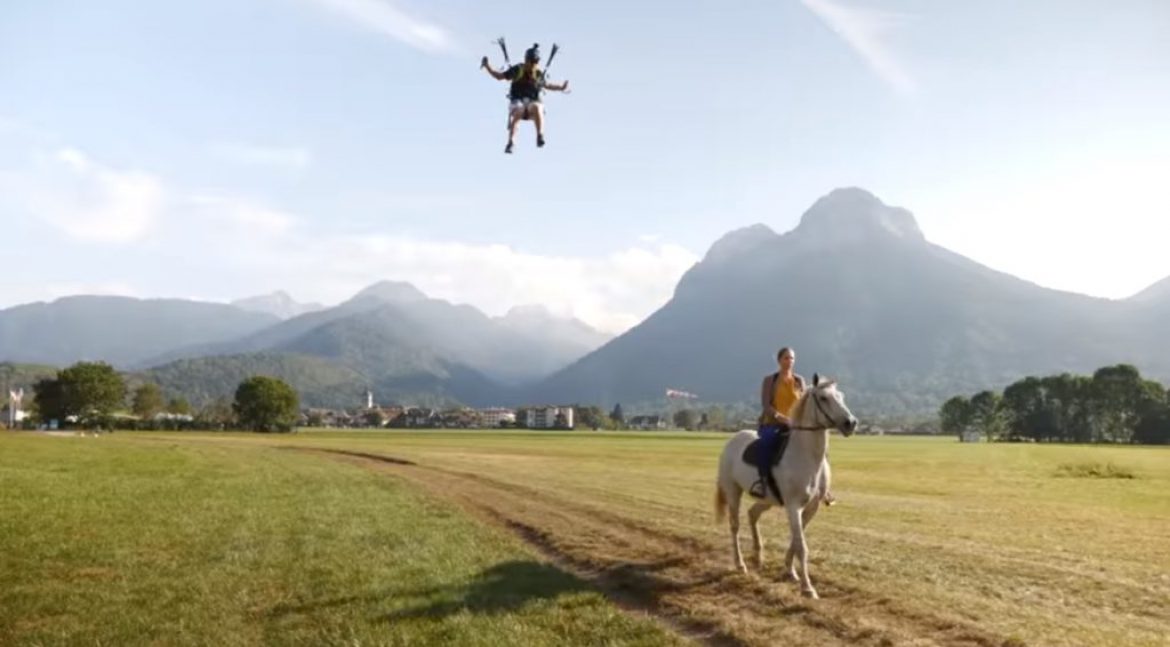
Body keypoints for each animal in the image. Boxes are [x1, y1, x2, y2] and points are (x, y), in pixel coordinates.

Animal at [706, 374, 856, 599]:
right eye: (823, 398)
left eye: (841, 396)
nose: (850, 423)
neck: (806, 456)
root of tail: (733, 440)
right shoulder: (793, 506)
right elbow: (801, 546)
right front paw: (807, 588)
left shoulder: (811, 507)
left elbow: (796, 540)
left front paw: (790, 571)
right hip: (733, 492)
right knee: (735, 525)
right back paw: (740, 564)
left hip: (767, 499)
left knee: (753, 514)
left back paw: (758, 556)